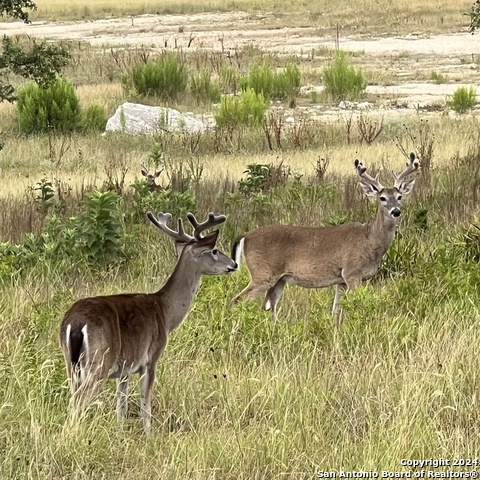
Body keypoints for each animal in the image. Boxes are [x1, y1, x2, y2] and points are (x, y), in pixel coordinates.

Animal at [59, 210, 238, 436]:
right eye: (214, 250)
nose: (234, 264)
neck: (165, 311)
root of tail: (75, 323)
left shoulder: (124, 369)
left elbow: (121, 405)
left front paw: (120, 435)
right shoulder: (151, 357)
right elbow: (145, 404)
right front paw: (149, 436)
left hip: (70, 363)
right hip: (99, 361)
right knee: (79, 403)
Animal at [230, 152, 420, 322]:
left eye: (399, 196)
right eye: (382, 198)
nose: (396, 211)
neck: (370, 240)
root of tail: (245, 236)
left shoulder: (341, 280)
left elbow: (336, 310)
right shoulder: (352, 272)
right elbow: (356, 305)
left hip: (279, 279)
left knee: (268, 307)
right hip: (263, 274)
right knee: (237, 300)